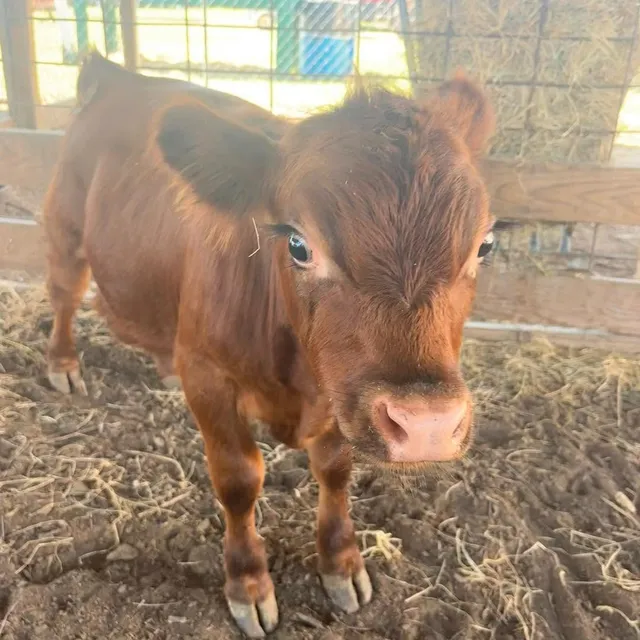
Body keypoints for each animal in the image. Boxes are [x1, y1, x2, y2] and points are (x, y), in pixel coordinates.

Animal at [44, 53, 496, 637]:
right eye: (299, 245)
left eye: (485, 245)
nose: (427, 425)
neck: (299, 384)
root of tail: (117, 75)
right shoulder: (208, 375)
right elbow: (239, 478)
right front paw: (248, 583)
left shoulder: (340, 394)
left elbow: (336, 468)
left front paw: (340, 563)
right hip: (65, 229)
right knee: (64, 294)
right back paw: (63, 363)